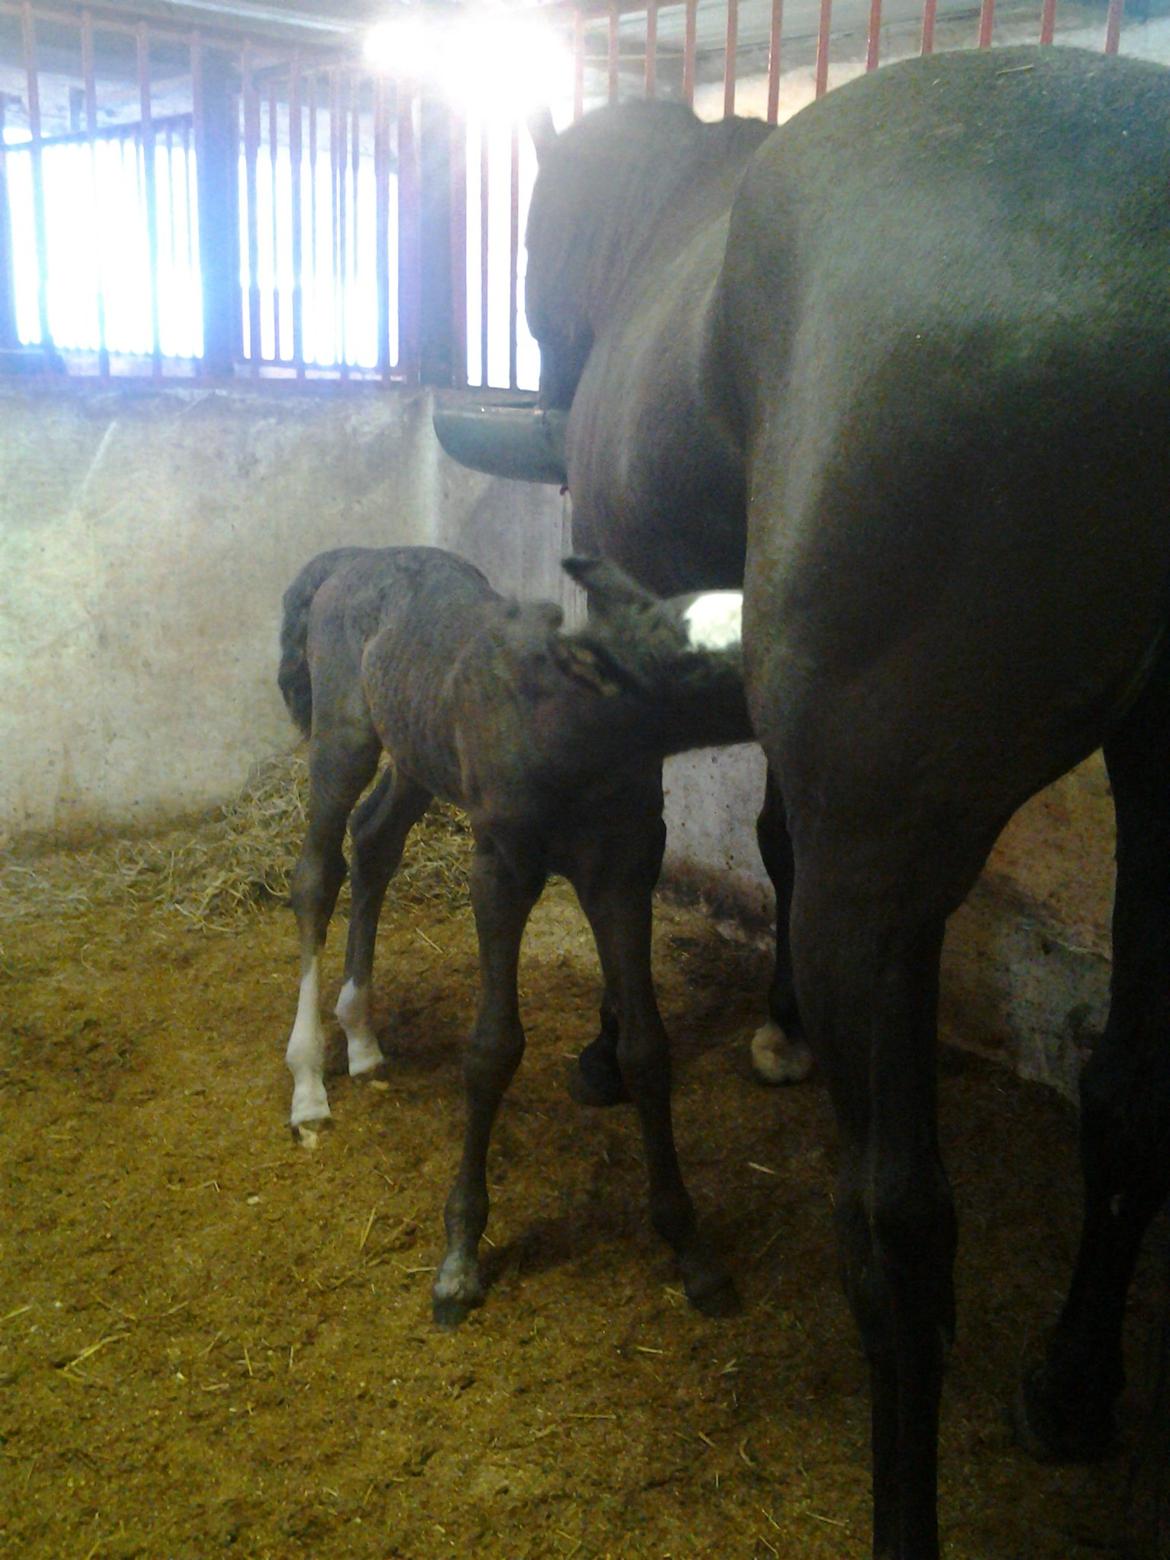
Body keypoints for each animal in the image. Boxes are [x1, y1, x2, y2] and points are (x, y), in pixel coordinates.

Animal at [277, 542, 751, 1322]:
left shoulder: (624, 873)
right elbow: (493, 1048)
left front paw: (691, 1248)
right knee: (317, 872)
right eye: (693, 664)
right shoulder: (498, 869)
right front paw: (460, 1258)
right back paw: (310, 1081)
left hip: (416, 752)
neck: (568, 728)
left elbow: (647, 1049)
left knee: (374, 841)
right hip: (345, 735)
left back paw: (364, 1037)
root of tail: (352, 556)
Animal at [527, 42, 1170, 1560]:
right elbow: (764, 839)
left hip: (884, 873)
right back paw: (1067, 1386)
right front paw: (773, 1031)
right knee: (1129, 1090)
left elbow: (630, 854)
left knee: (897, 1236)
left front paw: (608, 1050)